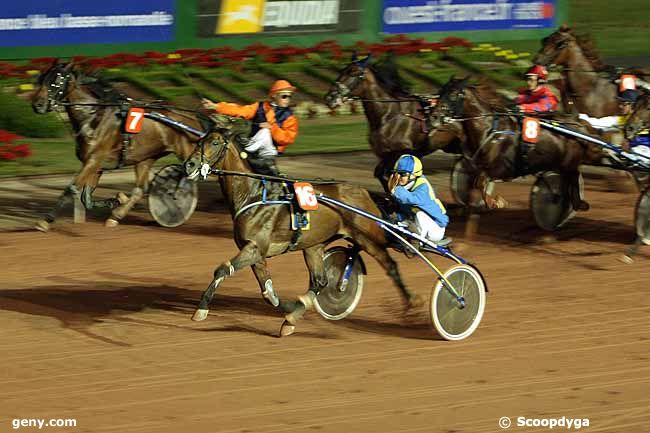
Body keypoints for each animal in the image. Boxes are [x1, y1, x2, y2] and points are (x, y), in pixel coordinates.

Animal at [29, 61, 202, 230]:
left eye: (57, 80)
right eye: (42, 79)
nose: (38, 104)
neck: (93, 116)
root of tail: (192, 117)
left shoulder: (95, 159)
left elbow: (72, 188)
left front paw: (45, 220)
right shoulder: (96, 165)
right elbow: (87, 198)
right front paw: (117, 200)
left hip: (188, 153)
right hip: (145, 158)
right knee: (140, 189)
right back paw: (116, 215)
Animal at [181, 126, 420, 336]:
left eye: (214, 142)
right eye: (199, 141)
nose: (189, 164)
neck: (253, 195)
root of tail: (364, 192)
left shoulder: (254, 248)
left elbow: (222, 269)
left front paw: (201, 309)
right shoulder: (256, 254)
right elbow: (268, 293)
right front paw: (291, 311)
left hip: (368, 237)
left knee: (391, 265)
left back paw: (414, 301)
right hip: (314, 246)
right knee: (321, 281)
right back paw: (295, 315)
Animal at [322, 54, 456, 189]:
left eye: (354, 72)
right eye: (342, 70)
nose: (330, 98)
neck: (389, 115)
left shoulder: (402, 152)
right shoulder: (384, 154)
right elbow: (382, 174)